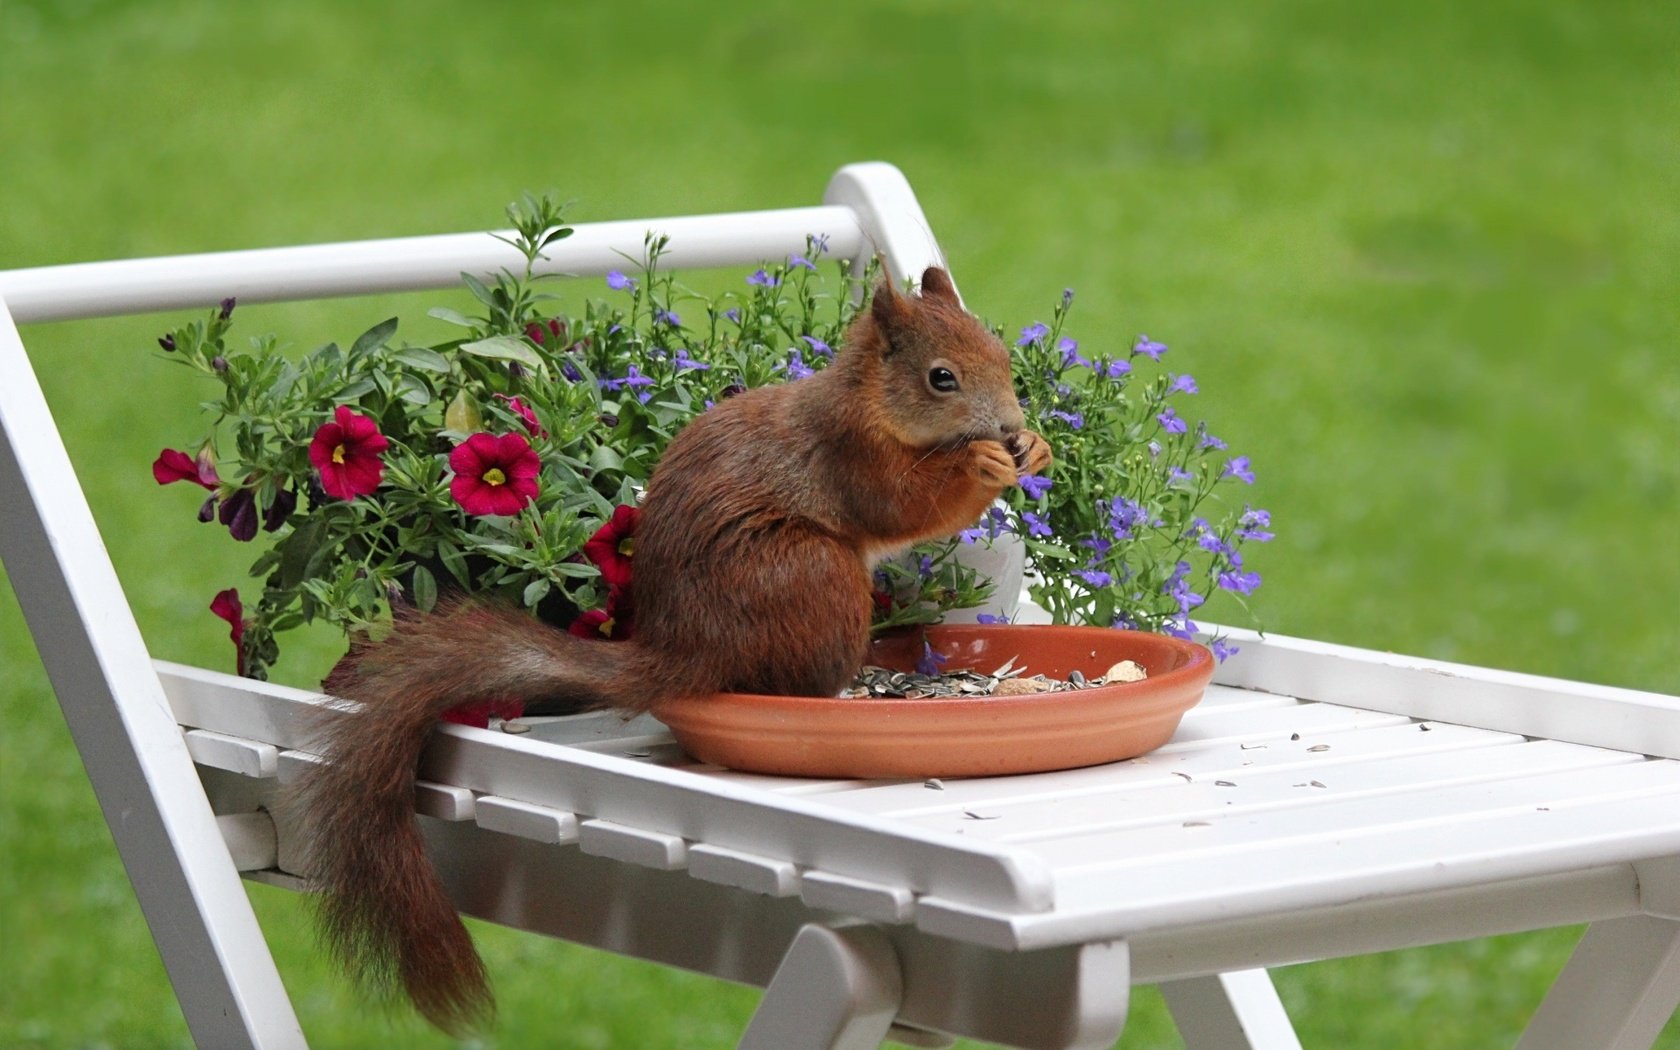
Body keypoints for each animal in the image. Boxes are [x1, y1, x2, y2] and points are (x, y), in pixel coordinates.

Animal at [288, 263, 1048, 1034]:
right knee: (792, 684)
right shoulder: (852, 456)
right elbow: (904, 506)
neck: (870, 404)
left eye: (1001, 354)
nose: (1011, 427)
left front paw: (1035, 448)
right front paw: (983, 462)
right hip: (814, 574)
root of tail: (686, 649)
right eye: (941, 378)